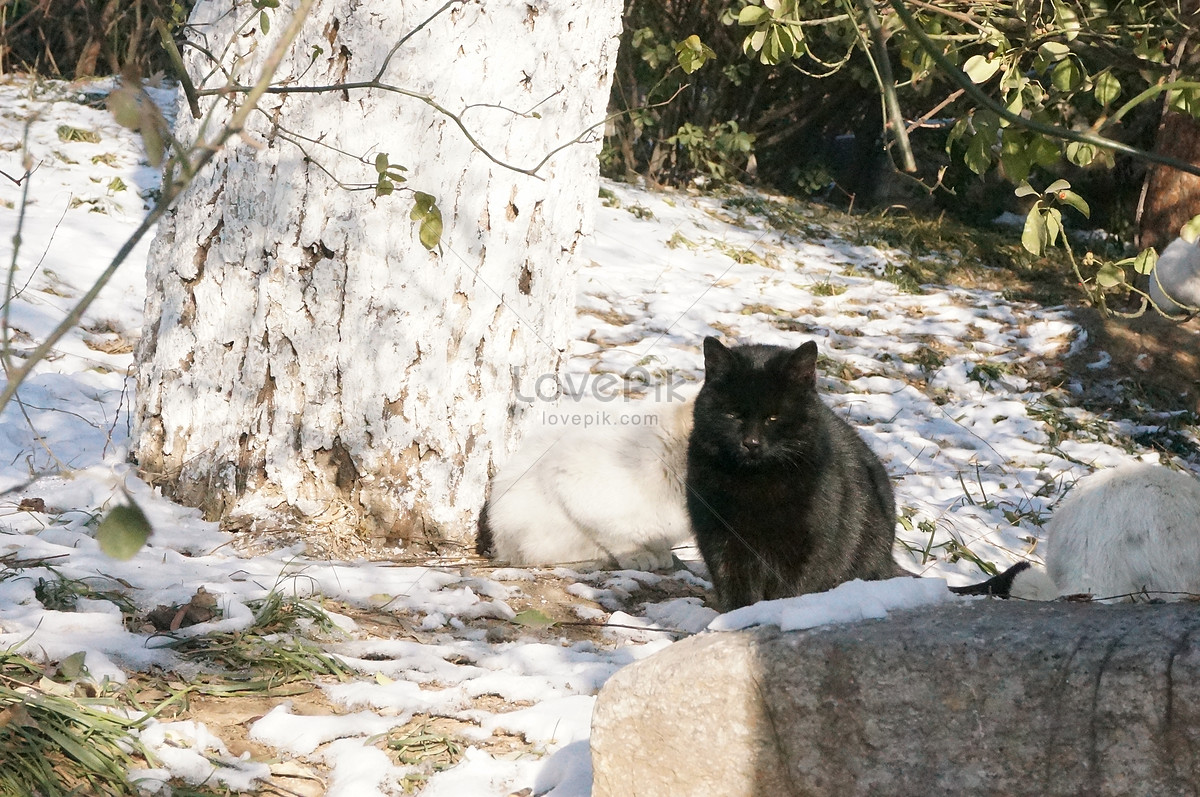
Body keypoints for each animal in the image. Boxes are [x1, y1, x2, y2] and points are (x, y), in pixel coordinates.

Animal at [686, 336, 902, 609]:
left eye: (773, 417)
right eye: (733, 414)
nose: (751, 443)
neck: (756, 486)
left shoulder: (806, 551)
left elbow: (790, 593)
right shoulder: (721, 544)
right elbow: (736, 594)